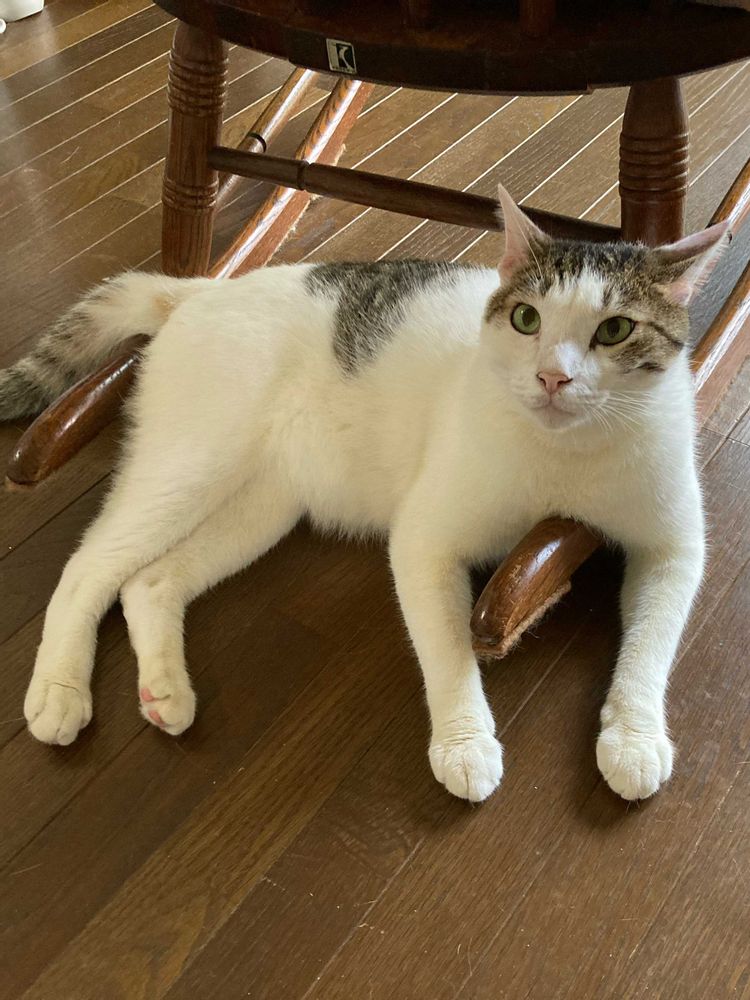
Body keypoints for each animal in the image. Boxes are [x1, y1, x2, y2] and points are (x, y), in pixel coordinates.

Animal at [1, 185, 729, 803]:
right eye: (527, 319)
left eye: (615, 330)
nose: (553, 378)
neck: (565, 456)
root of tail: (201, 289)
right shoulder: (424, 541)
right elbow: (448, 650)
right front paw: (465, 744)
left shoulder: (672, 548)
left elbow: (651, 647)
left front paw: (633, 738)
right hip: (191, 466)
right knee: (87, 567)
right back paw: (59, 691)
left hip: (259, 506)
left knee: (148, 582)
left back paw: (164, 691)